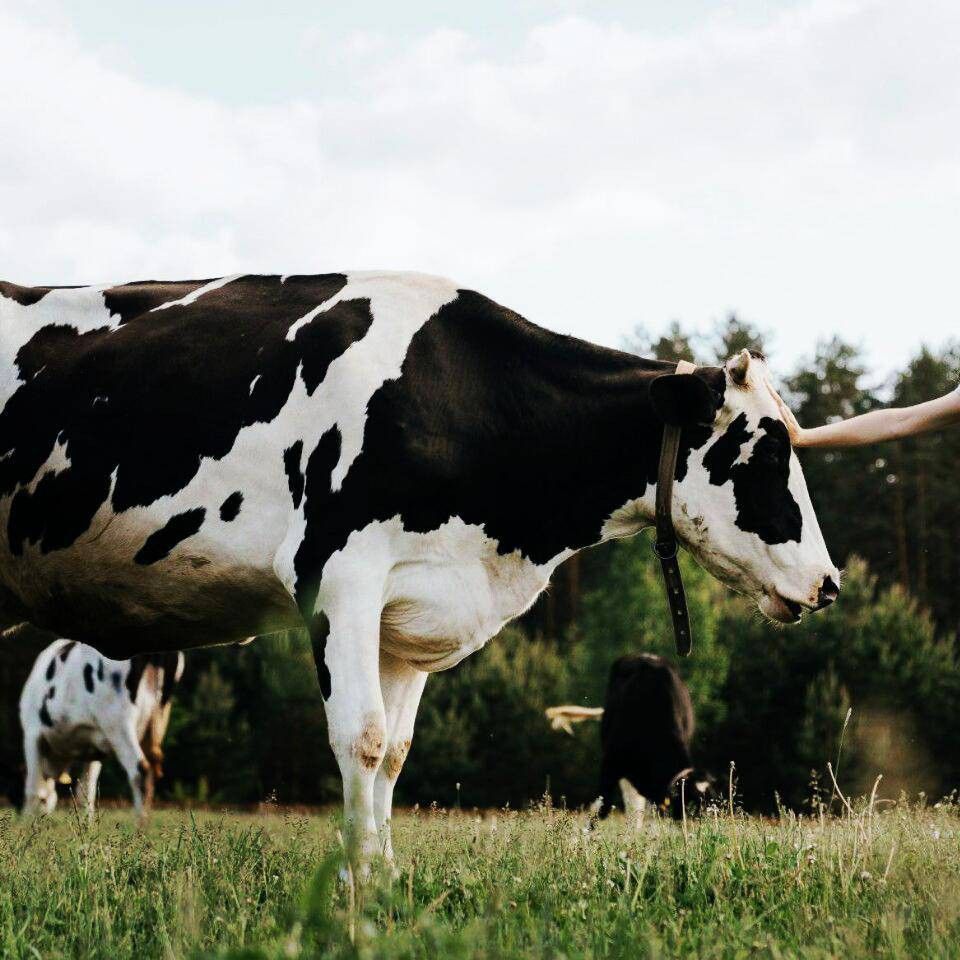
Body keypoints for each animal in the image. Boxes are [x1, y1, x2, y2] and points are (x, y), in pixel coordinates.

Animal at [19, 638, 184, 819]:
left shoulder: (32, 734)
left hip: (118, 722)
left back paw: (140, 826)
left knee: (140, 770)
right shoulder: (92, 746)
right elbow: (85, 793)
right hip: (157, 721)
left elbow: (33, 790)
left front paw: (27, 823)